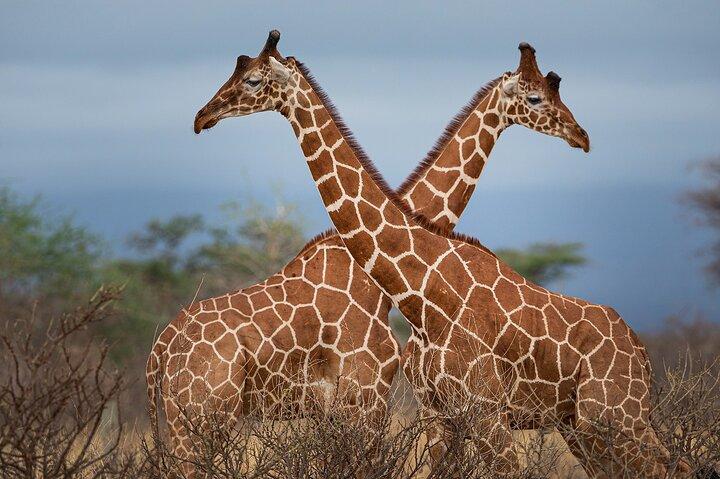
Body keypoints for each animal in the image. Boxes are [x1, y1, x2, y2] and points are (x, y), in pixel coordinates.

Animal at [193, 32, 687, 478]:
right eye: (536, 96)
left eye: (253, 79)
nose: (203, 115)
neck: (422, 295)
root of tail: (642, 352)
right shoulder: (439, 415)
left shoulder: (482, 411)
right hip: (585, 425)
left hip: (613, 417)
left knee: (666, 464)